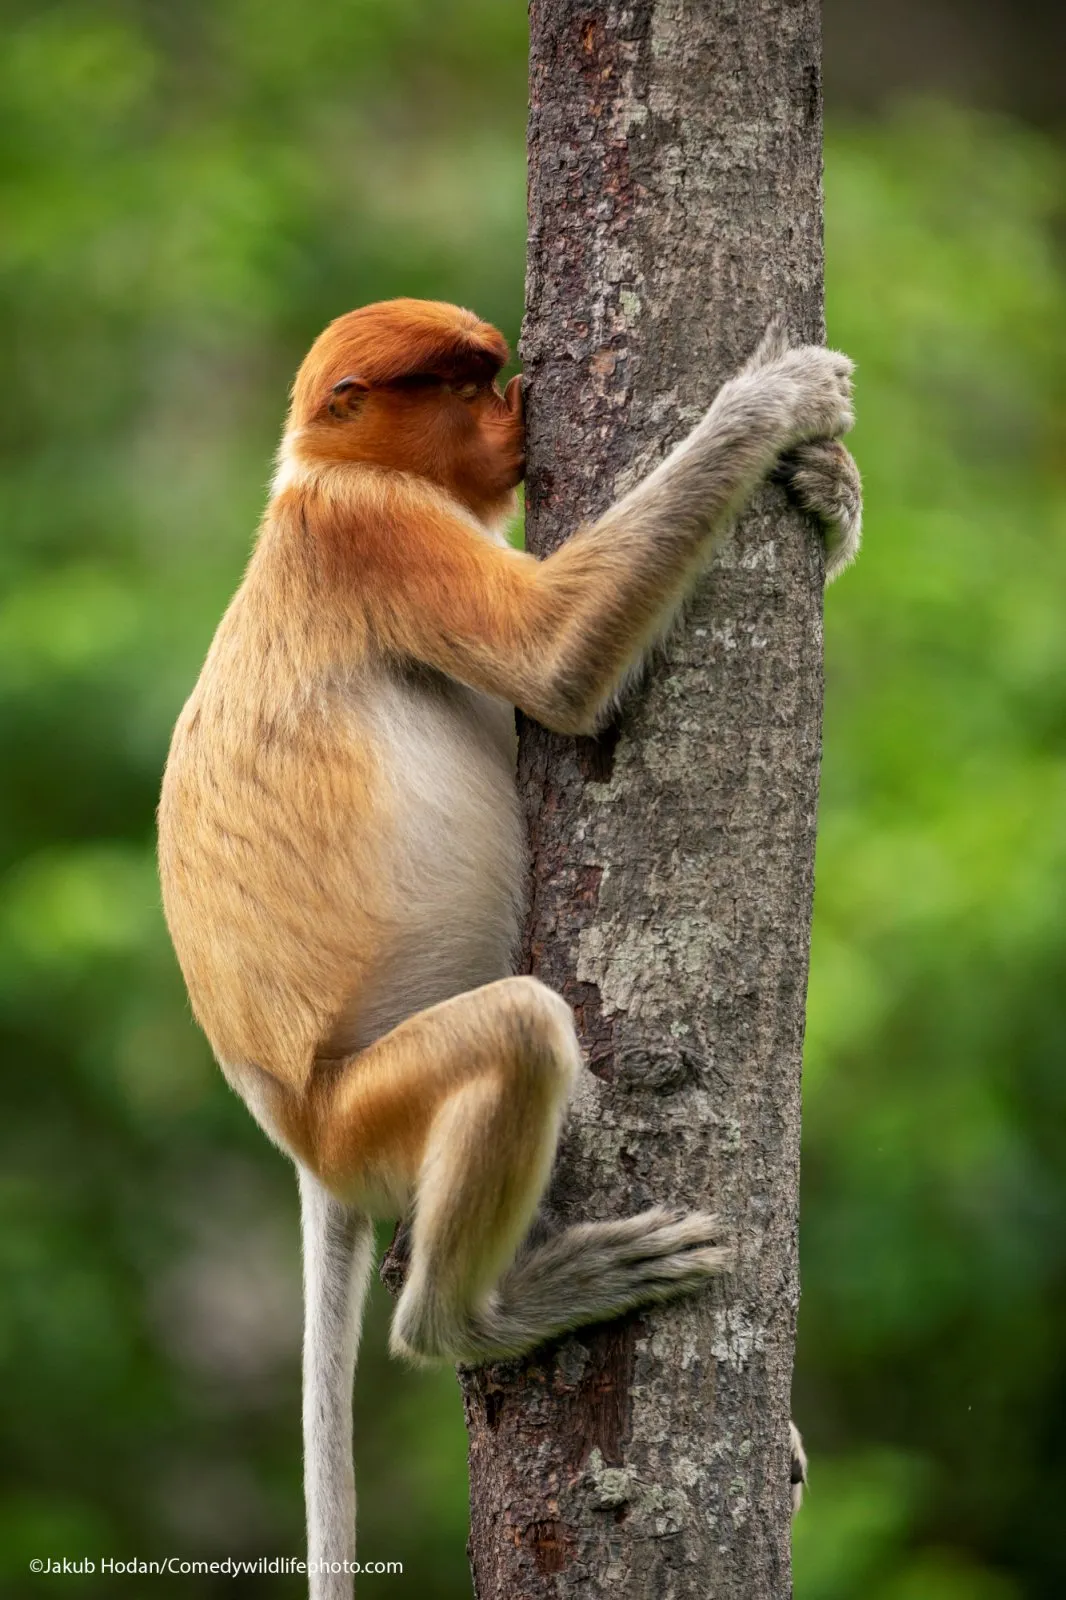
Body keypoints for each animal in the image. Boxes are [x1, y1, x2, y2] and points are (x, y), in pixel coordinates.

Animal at [156, 297, 857, 1587]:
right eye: (462, 385)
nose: (518, 405)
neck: (318, 476)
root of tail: (298, 1135)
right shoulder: (377, 531)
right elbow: (555, 661)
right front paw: (777, 400)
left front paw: (830, 489)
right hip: (371, 1106)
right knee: (524, 1030)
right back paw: (477, 1316)